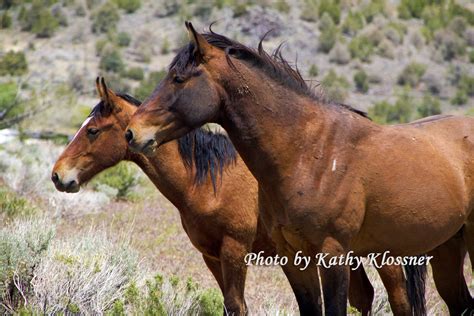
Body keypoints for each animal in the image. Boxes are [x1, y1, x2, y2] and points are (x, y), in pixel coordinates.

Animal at [52, 79, 426, 316]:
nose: (58, 175)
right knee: (364, 297)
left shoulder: (234, 250)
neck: (207, 182)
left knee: (399, 300)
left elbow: (237, 306)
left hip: (383, 256)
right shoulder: (211, 256)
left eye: (92, 131)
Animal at [126, 22, 474, 316]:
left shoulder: (333, 254)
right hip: (445, 249)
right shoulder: (293, 257)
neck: (308, 153)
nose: (133, 132)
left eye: (178, 78)